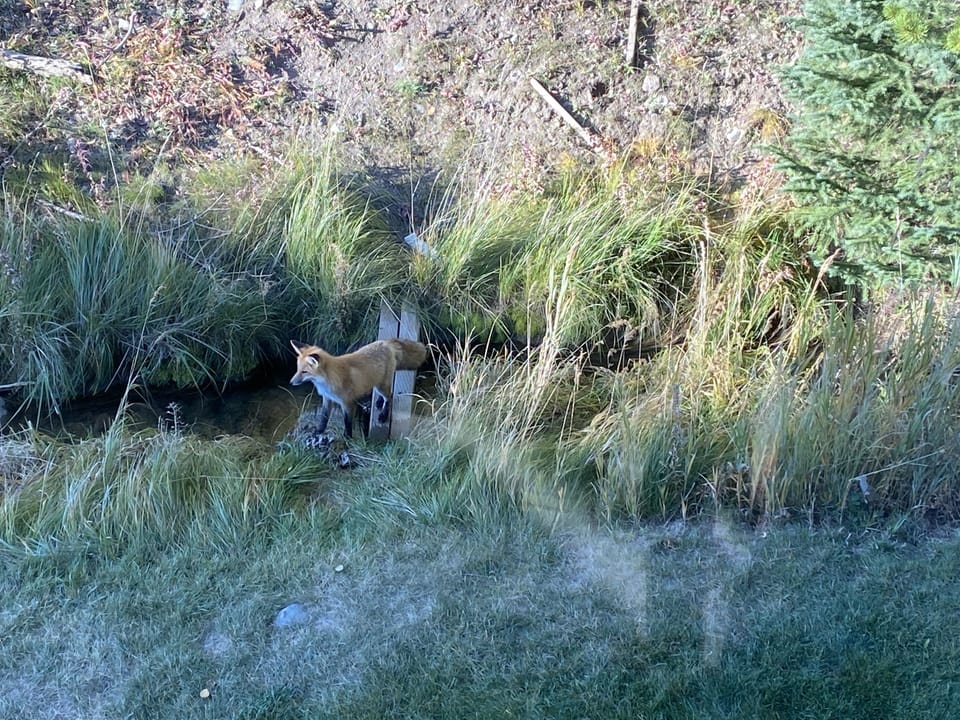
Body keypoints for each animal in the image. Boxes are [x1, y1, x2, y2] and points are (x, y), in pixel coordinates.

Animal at [289, 337, 428, 438]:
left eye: (304, 372)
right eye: (297, 369)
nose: (291, 382)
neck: (329, 379)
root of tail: (385, 342)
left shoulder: (348, 403)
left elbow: (348, 422)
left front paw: (348, 437)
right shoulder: (327, 399)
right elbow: (324, 418)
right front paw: (319, 431)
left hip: (382, 385)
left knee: (390, 396)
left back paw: (383, 415)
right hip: (377, 382)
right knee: (384, 395)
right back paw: (378, 402)